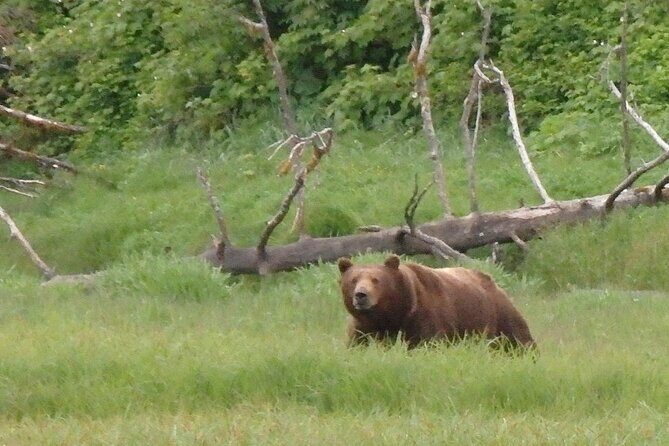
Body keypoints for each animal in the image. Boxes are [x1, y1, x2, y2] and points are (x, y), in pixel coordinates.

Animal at [337, 254, 536, 351]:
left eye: (376, 279)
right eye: (353, 279)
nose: (361, 295)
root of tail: (493, 281)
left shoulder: (424, 318)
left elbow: (428, 344)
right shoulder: (363, 327)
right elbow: (357, 345)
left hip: (498, 314)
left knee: (518, 339)